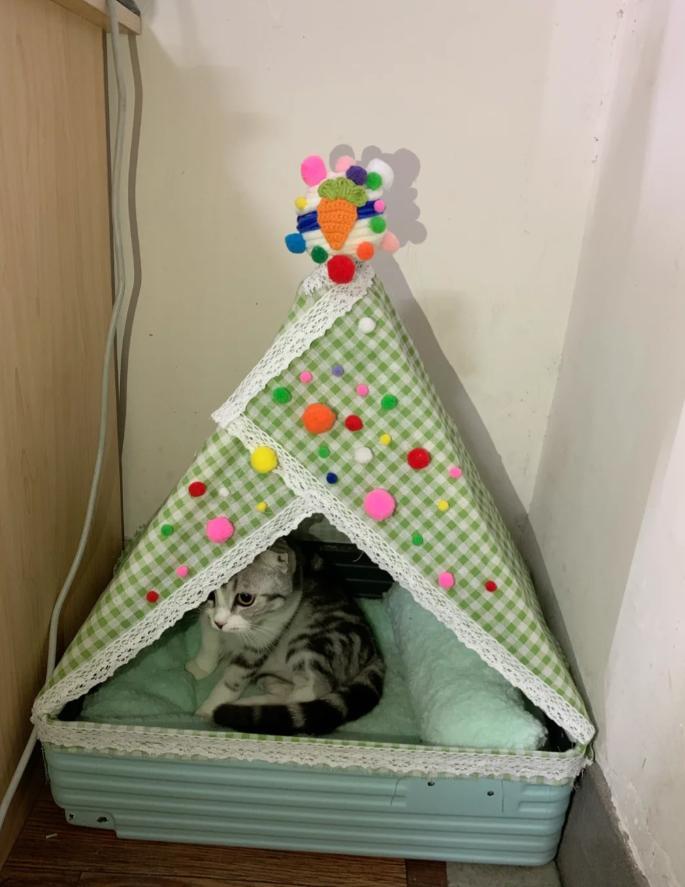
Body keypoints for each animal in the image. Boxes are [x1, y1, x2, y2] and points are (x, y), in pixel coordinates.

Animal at [186, 540, 385, 735]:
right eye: (209, 593)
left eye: (245, 598)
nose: (220, 622)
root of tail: (374, 650)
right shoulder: (208, 618)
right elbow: (209, 642)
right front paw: (200, 667)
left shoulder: (262, 642)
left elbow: (233, 679)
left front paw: (209, 709)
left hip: (312, 641)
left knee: (309, 693)